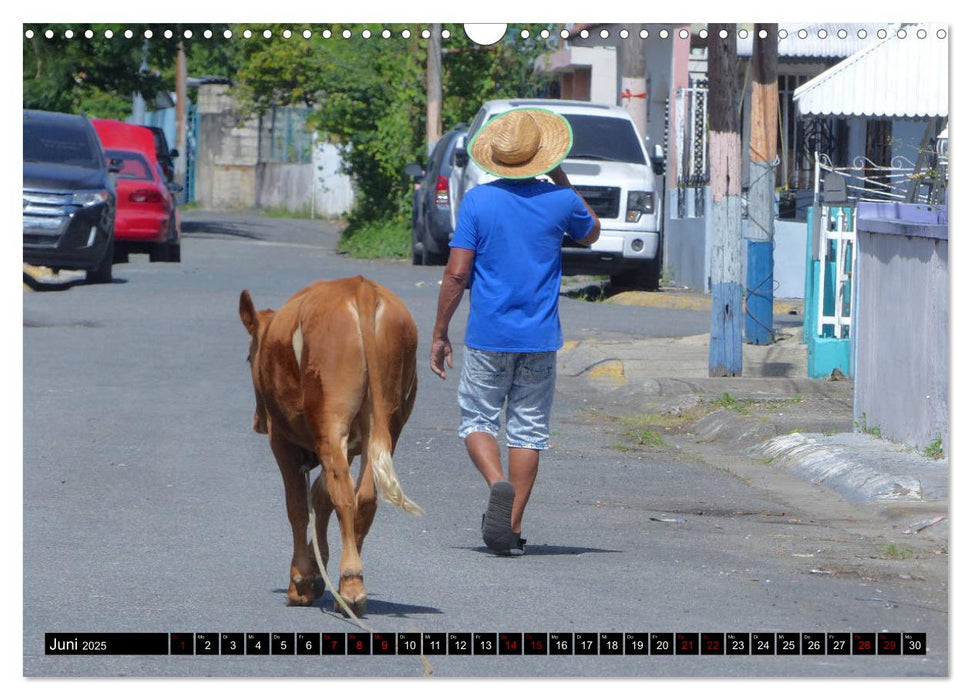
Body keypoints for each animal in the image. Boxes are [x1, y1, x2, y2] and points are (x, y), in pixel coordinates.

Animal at [239, 276, 422, 616]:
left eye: (248, 358)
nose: (257, 421)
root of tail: (362, 288)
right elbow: (319, 495)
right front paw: (316, 569)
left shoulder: (282, 442)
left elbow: (299, 506)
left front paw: (301, 580)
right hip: (387, 421)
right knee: (364, 495)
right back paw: (347, 585)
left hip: (330, 419)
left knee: (344, 494)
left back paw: (350, 584)